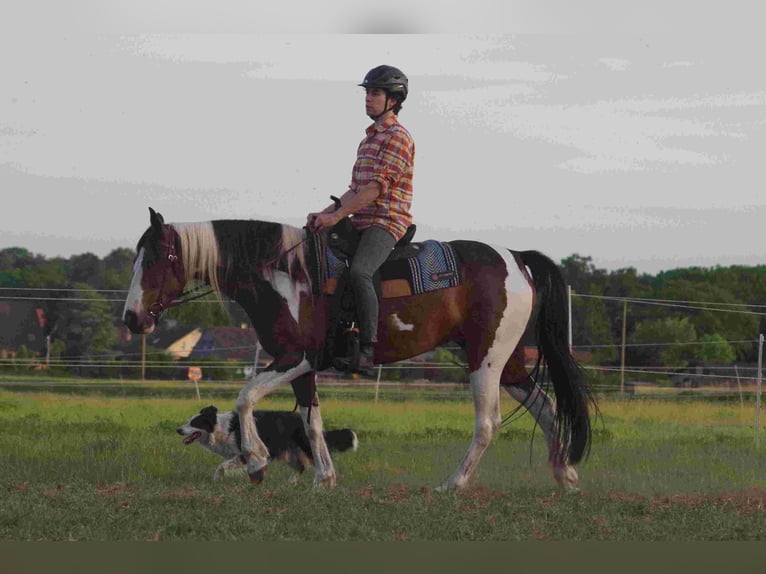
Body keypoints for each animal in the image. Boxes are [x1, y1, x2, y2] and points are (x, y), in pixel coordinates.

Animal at [124, 209, 592, 492]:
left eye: (155, 260)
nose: (132, 318)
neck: (284, 274)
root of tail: (516, 258)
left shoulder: (298, 358)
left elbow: (245, 398)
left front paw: (255, 461)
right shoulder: (305, 369)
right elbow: (310, 422)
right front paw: (324, 478)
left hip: (486, 361)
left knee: (488, 423)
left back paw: (453, 484)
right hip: (507, 362)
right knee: (546, 407)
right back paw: (565, 474)